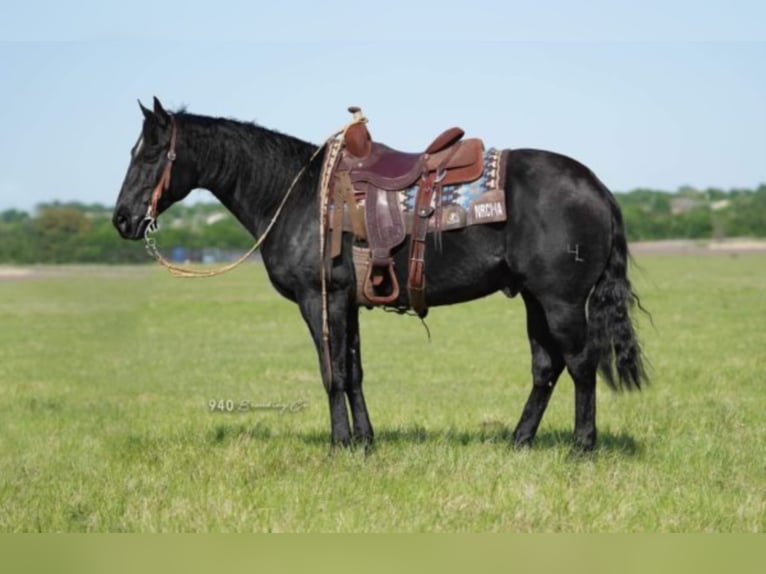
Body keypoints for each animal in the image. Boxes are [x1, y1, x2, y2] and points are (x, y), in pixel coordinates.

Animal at [114, 99, 648, 454]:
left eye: (149, 155)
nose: (122, 219)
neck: (298, 195)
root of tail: (597, 187)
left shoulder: (320, 300)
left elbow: (331, 372)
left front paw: (338, 444)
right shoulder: (346, 303)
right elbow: (353, 372)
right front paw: (364, 442)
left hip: (561, 301)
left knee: (580, 364)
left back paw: (582, 447)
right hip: (535, 299)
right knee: (546, 367)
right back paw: (519, 441)